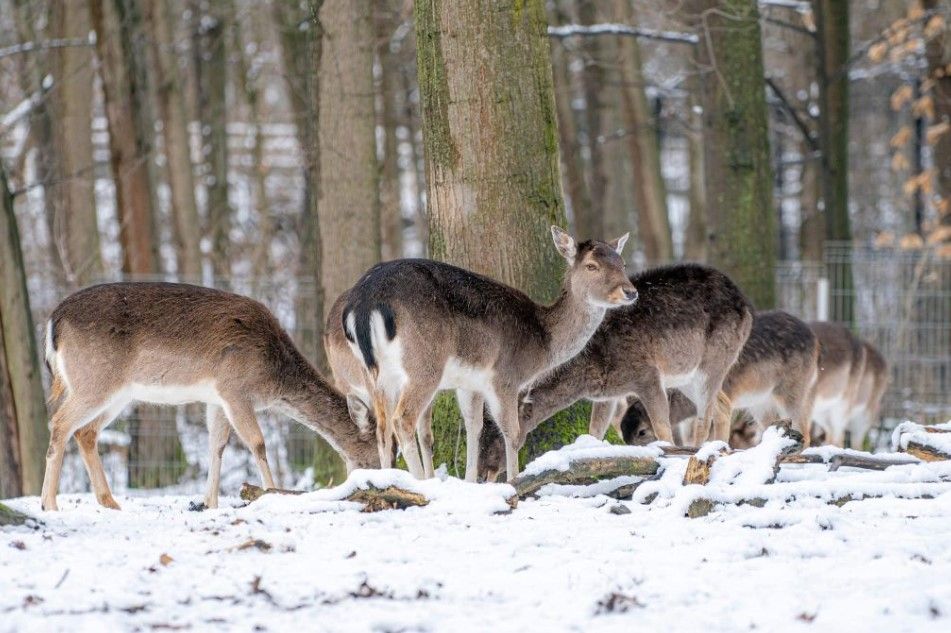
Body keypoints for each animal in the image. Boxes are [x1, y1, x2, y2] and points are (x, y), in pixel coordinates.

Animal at [41, 280, 380, 508]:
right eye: (379, 446)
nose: (382, 474)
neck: (273, 376)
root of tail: (53, 322)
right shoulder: (234, 389)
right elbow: (257, 443)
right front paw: (271, 494)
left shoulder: (217, 399)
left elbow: (216, 445)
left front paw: (210, 503)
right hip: (95, 381)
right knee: (59, 423)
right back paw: (50, 503)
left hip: (117, 394)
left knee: (85, 432)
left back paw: (109, 501)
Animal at [338, 227, 636, 478]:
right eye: (591, 266)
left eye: (622, 264)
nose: (630, 291)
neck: (542, 341)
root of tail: (364, 304)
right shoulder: (505, 378)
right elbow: (513, 433)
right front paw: (514, 481)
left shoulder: (470, 383)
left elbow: (475, 428)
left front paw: (471, 481)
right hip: (423, 366)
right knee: (402, 420)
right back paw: (420, 482)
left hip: (375, 373)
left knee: (382, 430)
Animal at [512, 262, 752, 450]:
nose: (513, 444)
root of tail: (746, 304)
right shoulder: (607, 396)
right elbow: (594, 430)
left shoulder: (648, 376)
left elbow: (662, 428)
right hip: (686, 376)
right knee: (724, 405)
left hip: (713, 363)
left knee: (705, 415)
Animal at [620, 312, 820, 450]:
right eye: (623, 431)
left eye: (642, 431)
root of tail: (813, 337)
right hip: (759, 404)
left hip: (791, 391)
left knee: (805, 431)